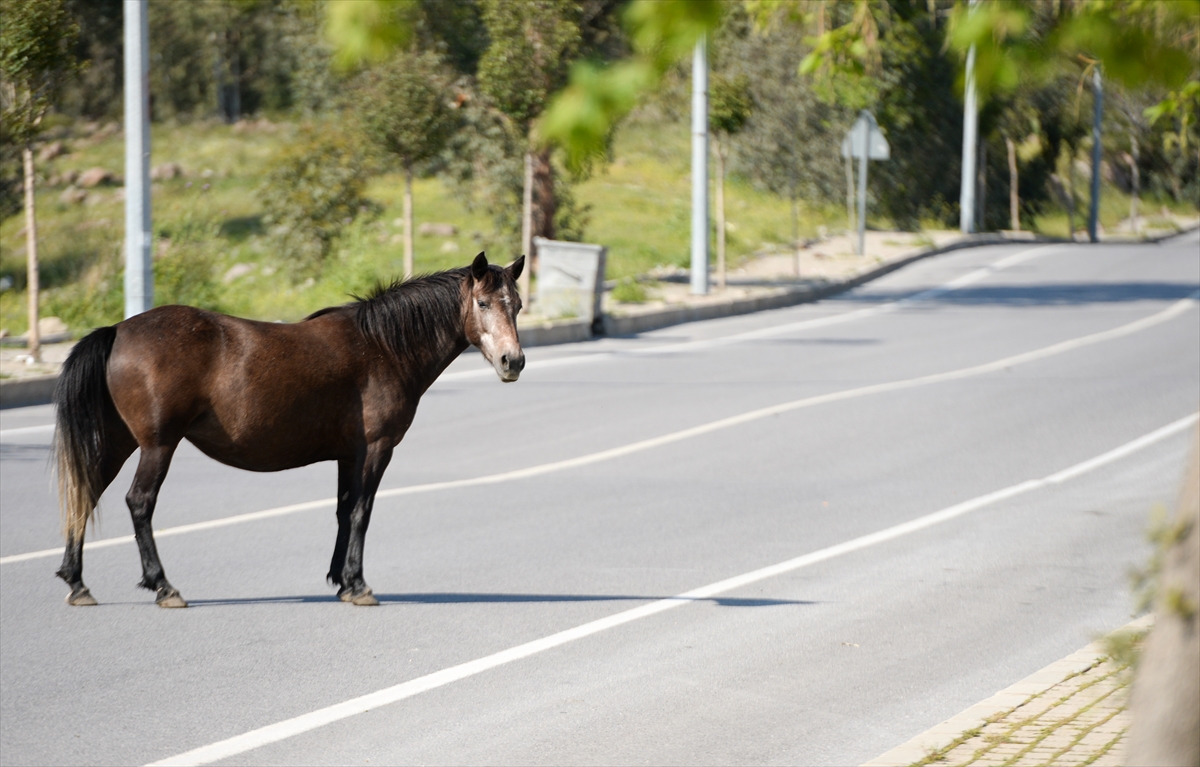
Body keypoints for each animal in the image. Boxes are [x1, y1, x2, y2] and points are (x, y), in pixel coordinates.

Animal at [55, 254, 525, 609]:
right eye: (483, 303)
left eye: (517, 305)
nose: (513, 361)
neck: (382, 347)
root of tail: (118, 330)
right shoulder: (375, 449)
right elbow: (362, 511)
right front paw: (358, 584)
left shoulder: (348, 454)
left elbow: (343, 511)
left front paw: (341, 579)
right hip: (158, 445)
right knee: (139, 502)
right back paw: (163, 586)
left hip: (119, 442)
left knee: (86, 493)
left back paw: (77, 582)